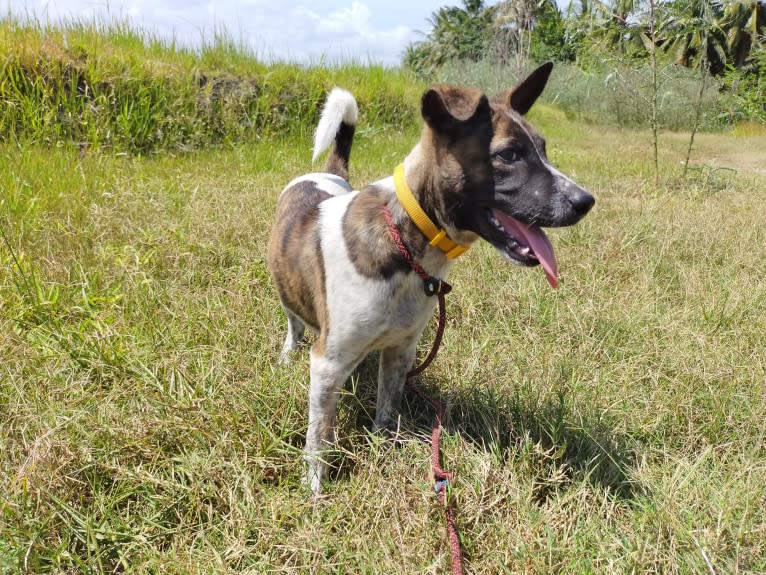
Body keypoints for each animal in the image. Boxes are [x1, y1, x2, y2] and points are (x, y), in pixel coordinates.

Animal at [268, 64, 596, 496]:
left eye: (543, 148)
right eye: (509, 154)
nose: (585, 201)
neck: (406, 240)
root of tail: (325, 173)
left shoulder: (401, 351)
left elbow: (387, 411)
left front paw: (383, 453)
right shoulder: (327, 362)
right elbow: (319, 435)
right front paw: (316, 491)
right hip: (286, 290)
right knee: (294, 322)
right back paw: (288, 353)